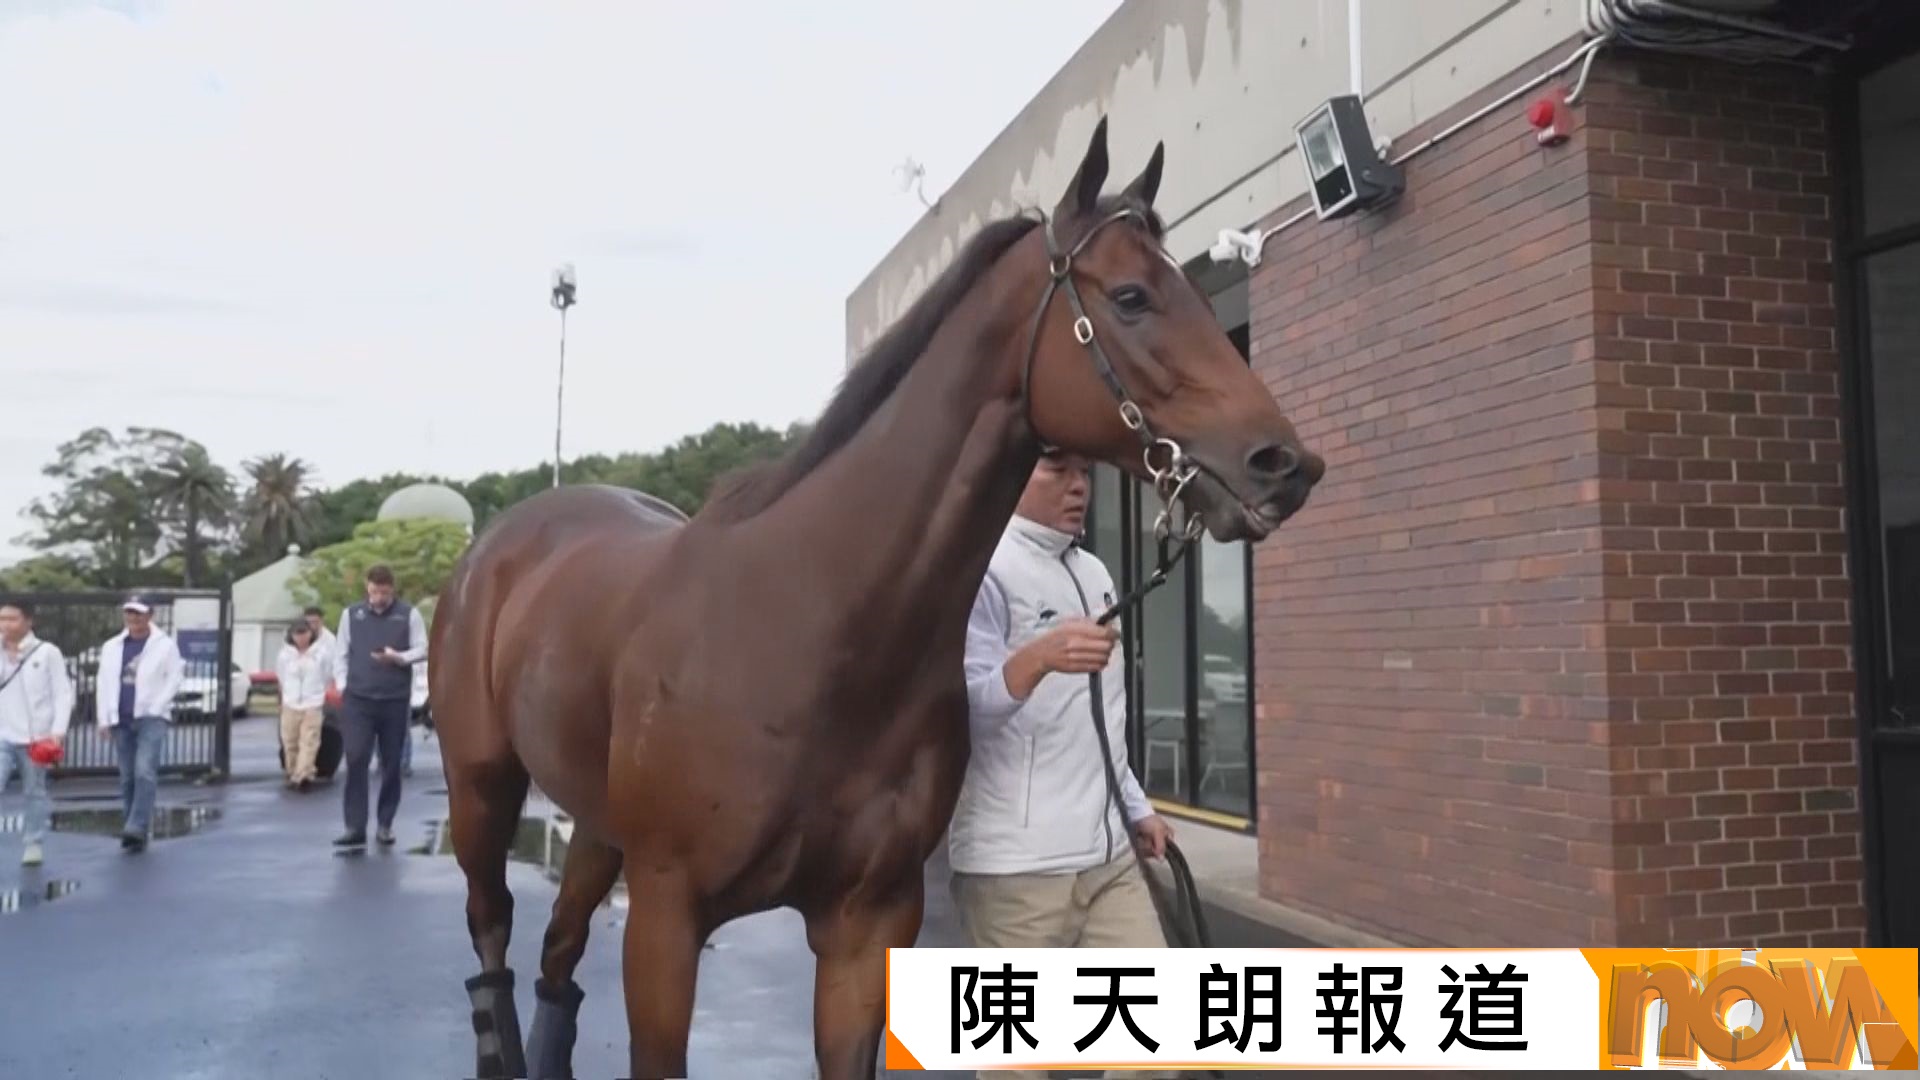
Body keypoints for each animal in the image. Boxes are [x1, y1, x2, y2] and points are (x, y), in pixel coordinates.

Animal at [430, 115, 1324, 1080]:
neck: (818, 630)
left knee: (558, 957)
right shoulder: (666, 924)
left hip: (596, 830)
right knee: (493, 939)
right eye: (1130, 296)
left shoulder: (869, 925)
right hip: (481, 792)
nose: (1285, 465)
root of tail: (499, 545)